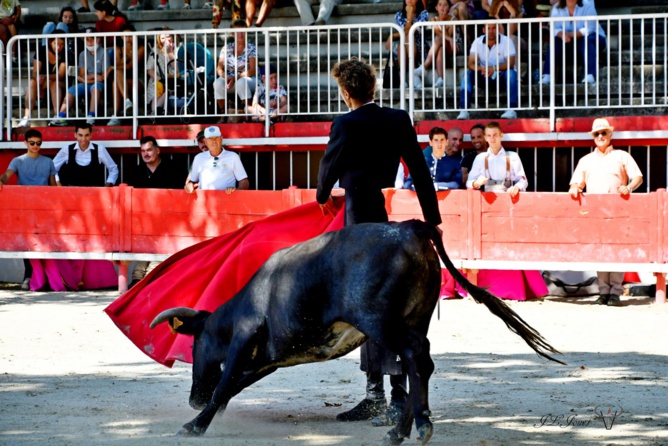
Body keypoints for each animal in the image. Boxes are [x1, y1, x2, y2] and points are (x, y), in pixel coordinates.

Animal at [151, 220, 564, 446]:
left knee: (416, 358)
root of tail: (409, 226)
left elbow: (224, 384)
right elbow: (232, 385)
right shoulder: (270, 359)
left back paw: (415, 427)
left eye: (194, 343)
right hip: (415, 317)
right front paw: (204, 417)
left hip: (379, 320)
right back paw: (401, 430)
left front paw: (193, 426)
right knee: (417, 361)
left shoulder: (244, 340)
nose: (193, 399)